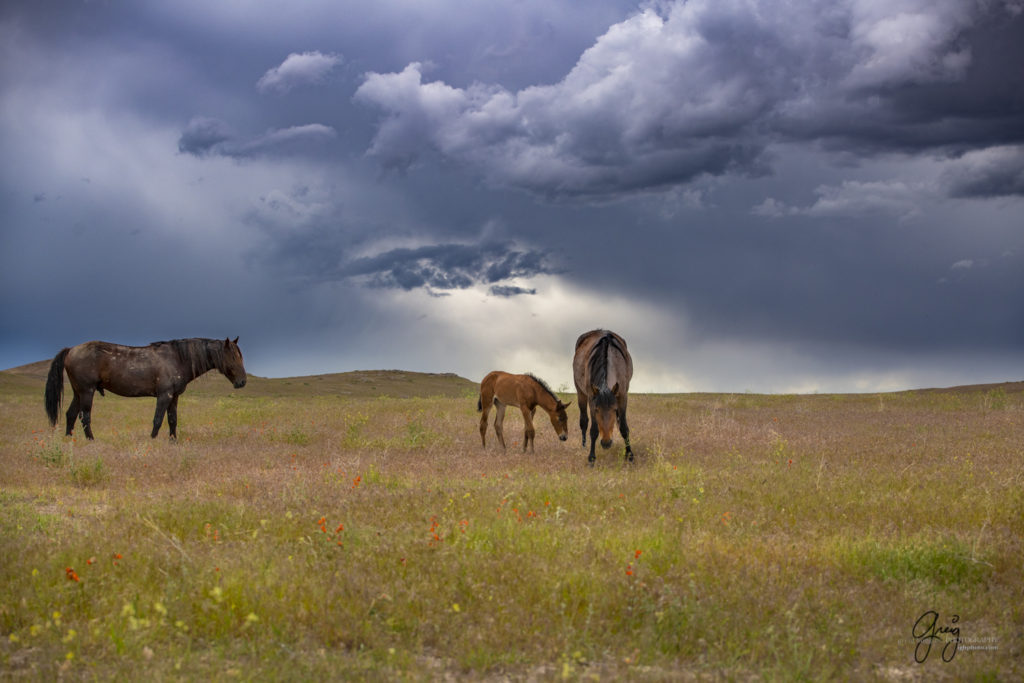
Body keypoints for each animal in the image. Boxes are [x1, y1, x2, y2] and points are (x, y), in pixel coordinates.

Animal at [46, 337, 249, 444]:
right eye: (232, 356)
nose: (242, 382)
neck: (178, 358)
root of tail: (71, 349)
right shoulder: (164, 395)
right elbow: (158, 419)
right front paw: (152, 440)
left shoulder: (174, 396)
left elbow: (172, 420)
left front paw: (173, 441)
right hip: (87, 391)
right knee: (84, 416)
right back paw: (91, 440)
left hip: (78, 392)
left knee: (71, 414)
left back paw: (68, 440)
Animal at [577, 329, 630, 464]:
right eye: (597, 410)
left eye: (614, 409)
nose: (606, 443)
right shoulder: (592, 399)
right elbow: (594, 430)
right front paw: (591, 457)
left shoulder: (622, 396)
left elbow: (624, 427)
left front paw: (630, 455)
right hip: (580, 392)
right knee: (584, 421)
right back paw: (584, 446)